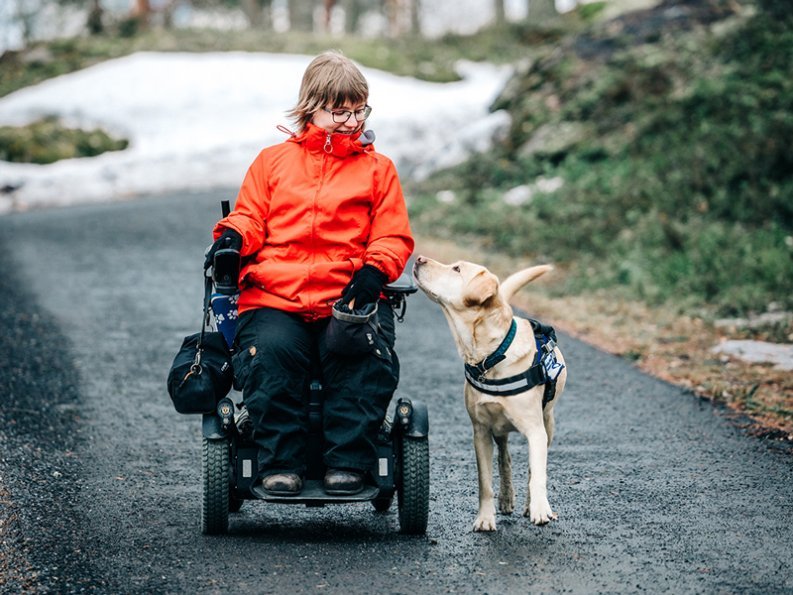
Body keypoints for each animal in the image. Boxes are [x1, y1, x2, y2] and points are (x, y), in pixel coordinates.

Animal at [412, 255, 568, 532]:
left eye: (457, 269)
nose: (419, 258)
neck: (492, 355)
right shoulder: (481, 432)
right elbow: (485, 481)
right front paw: (485, 518)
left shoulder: (536, 431)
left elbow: (537, 473)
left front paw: (541, 508)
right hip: (499, 430)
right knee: (504, 458)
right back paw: (506, 499)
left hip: (548, 423)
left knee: (532, 466)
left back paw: (529, 505)